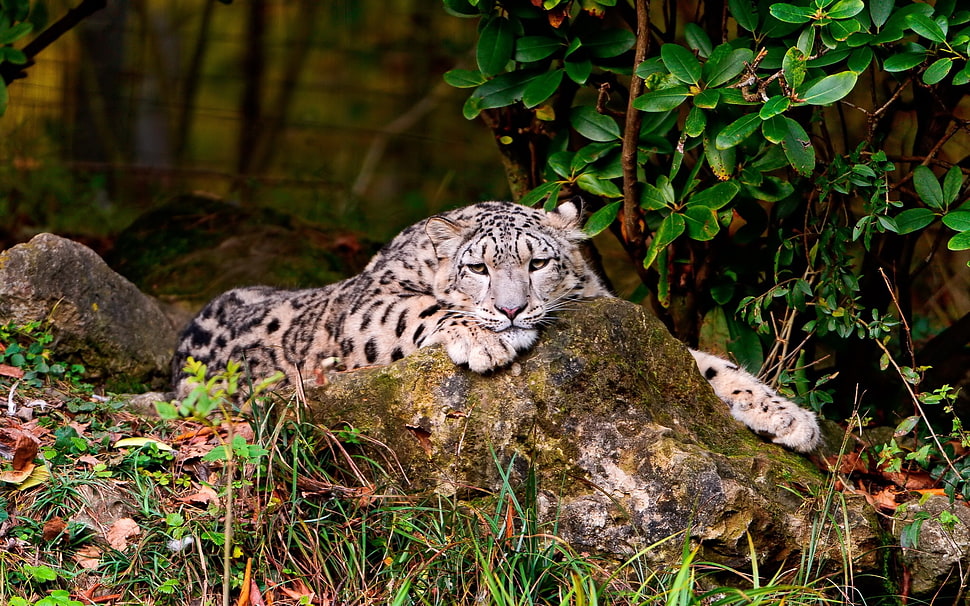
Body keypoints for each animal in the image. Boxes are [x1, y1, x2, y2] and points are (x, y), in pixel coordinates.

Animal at [172, 200, 820, 452]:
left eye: (538, 263)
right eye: (479, 267)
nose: (510, 310)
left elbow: (704, 363)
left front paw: (789, 416)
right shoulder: (366, 306)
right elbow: (418, 310)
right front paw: (486, 340)